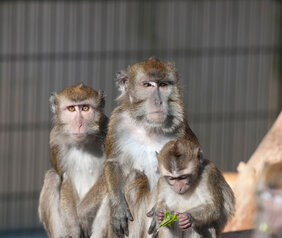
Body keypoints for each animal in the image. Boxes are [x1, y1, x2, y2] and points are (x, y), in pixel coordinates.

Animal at [38, 83, 107, 238]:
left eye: (85, 108)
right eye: (71, 109)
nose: (79, 124)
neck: (84, 144)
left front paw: (82, 213)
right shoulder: (55, 140)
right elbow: (65, 178)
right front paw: (73, 227)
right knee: (52, 177)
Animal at [103, 57, 198, 236]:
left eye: (163, 84)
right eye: (147, 85)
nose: (158, 101)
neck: (149, 126)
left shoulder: (180, 125)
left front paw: (158, 211)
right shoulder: (117, 121)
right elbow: (114, 162)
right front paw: (118, 209)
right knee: (136, 176)